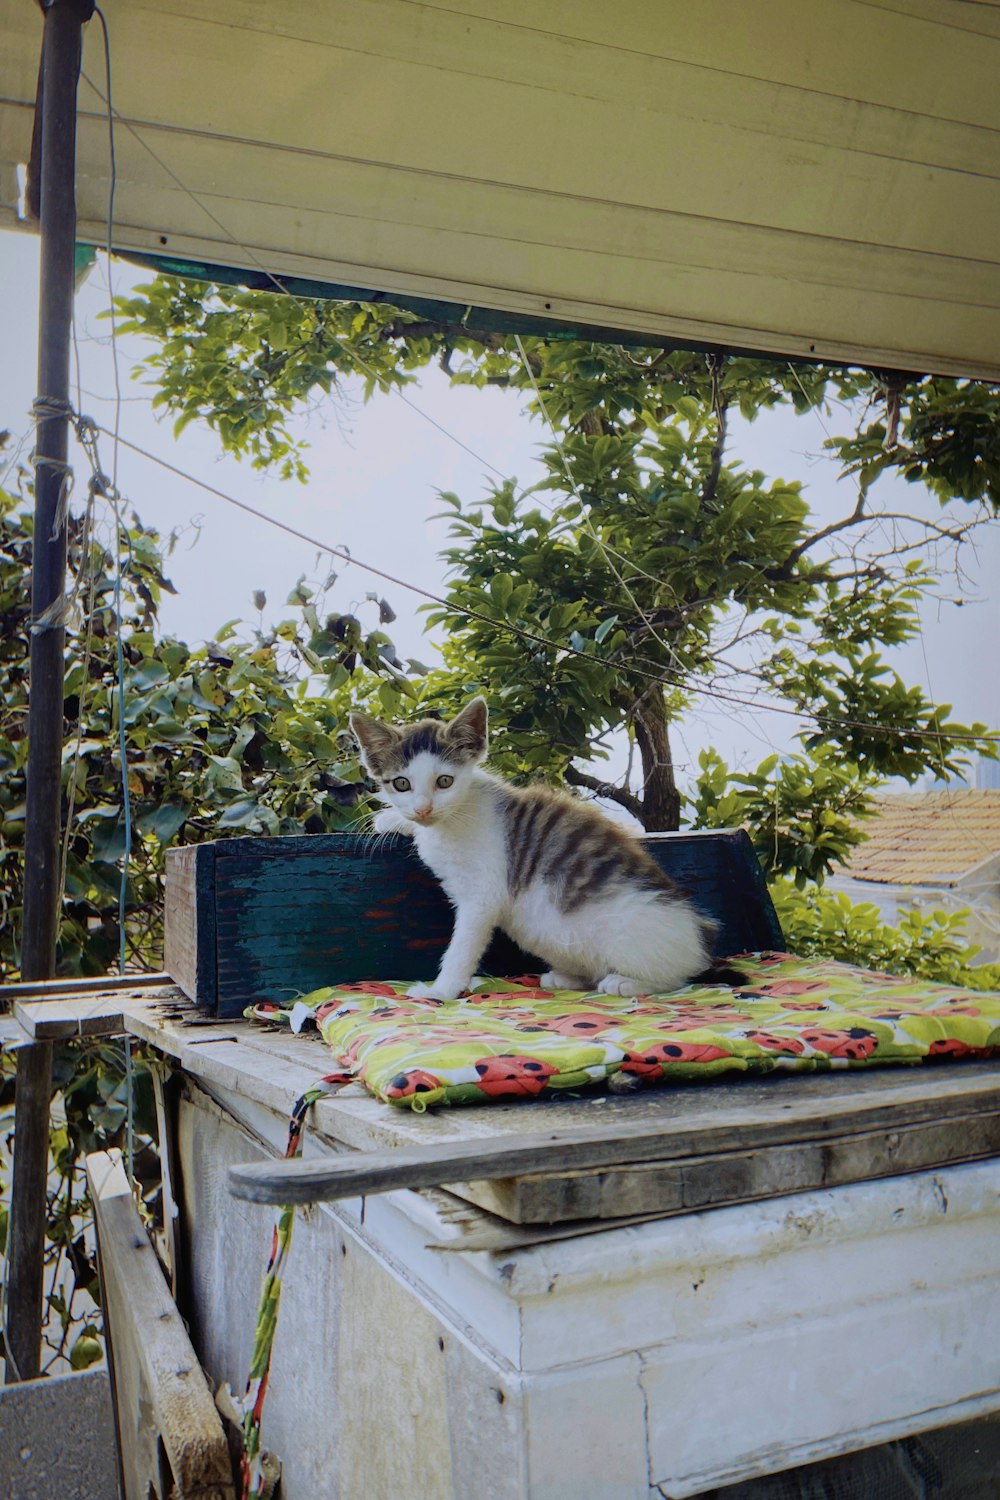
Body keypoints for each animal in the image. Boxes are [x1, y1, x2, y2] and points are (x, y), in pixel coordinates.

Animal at [347, 696, 716, 1002]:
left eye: (445, 781)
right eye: (402, 784)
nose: (423, 809)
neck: (453, 819)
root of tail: (697, 937)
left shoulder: (483, 896)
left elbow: (462, 948)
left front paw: (440, 990)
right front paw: (392, 818)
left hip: (628, 935)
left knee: (678, 978)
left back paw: (627, 982)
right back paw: (567, 978)